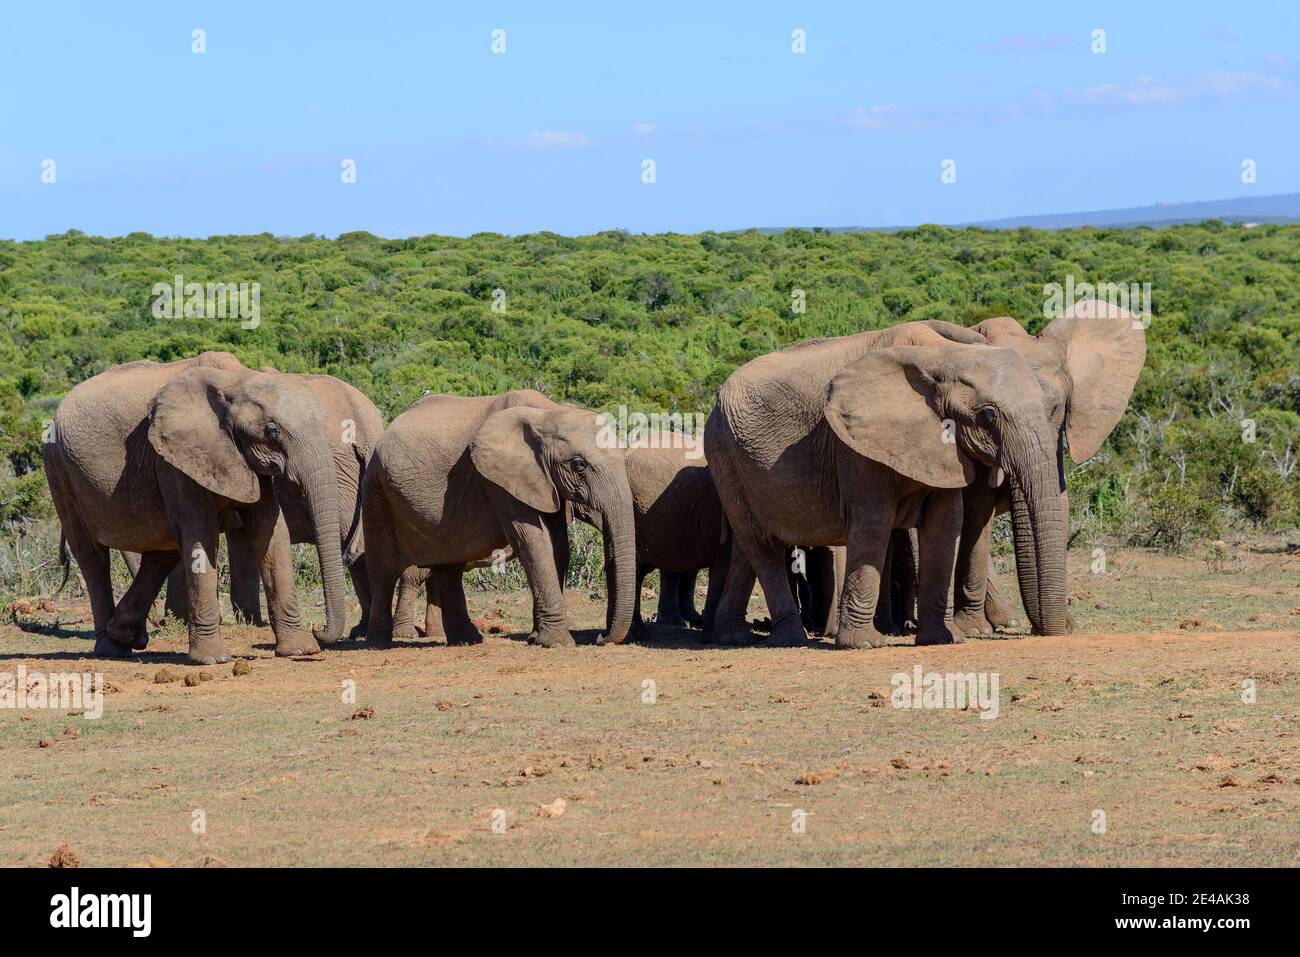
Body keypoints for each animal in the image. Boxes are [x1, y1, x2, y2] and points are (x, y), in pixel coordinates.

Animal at [45, 353, 351, 665]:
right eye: (271, 431)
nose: (318, 629)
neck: (237, 379)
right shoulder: (174, 458)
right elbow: (201, 535)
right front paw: (212, 660)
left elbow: (271, 532)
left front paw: (300, 650)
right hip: (59, 469)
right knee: (92, 556)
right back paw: (111, 649)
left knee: (161, 552)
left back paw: (126, 636)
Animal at [361, 390, 634, 650]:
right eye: (578, 465)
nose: (601, 637)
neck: (548, 413)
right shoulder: (499, 480)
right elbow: (534, 542)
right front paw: (556, 643)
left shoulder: (544, 482)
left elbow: (559, 546)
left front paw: (536, 638)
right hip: (376, 488)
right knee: (385, 568)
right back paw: (380, 643)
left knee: (448, 566)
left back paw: (467, 640)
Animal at [707, 317, 1071, 647]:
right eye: (988, 415)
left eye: (1055, 409)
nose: (1054, 632)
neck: (943, 357)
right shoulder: (853, 445)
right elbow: (873, 522)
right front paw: (864, 644)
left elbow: (944, 524)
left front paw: (942, 640)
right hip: (724, 456)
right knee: (763, 546)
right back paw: (789, 639)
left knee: (747, 549)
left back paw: (732, 636)